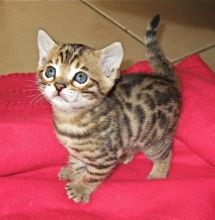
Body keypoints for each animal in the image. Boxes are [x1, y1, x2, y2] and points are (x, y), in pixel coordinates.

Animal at [36, 15, 180, 204]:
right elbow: (76, 161)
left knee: (166, 152)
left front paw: (80, 188)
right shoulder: (77, 152)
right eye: (50, 72)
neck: (71, 118)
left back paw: (158, 174)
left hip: (155, 138)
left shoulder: (104, 159)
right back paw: (126, 155)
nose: (58, 86)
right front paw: (72, 172)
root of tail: (167, 81)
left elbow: (92, 176)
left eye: (80, 77)